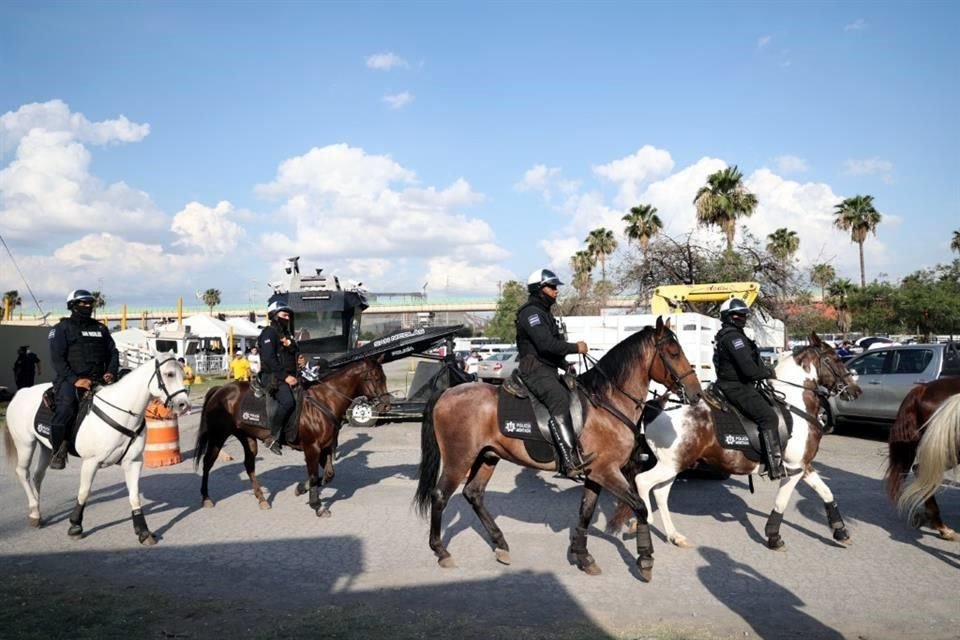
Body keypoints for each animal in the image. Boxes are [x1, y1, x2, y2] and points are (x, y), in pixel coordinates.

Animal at [2, 356, 188, 544]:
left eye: (183, 373)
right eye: (169, 374)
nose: (184, 405)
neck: (122, 413)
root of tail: (21, 392)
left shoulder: (133, 462)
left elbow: (134, 496)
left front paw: (143, 531)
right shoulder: (90, 462)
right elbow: (84, 493)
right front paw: (75, 526)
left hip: (46, 447)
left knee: (38, 475)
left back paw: (36, 513)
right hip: (25, 444)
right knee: (23, 472)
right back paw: (34, 510)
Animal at [193, 358, 388, 516]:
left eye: (383, 377)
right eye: (376, 378)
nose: (386, 405)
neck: (325, 401)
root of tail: (220, 390)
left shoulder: (325, 447)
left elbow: (328, 475)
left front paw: (301, 489)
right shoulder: (312, 448)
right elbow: (314, 476)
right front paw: (316, 505)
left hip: (247, 439)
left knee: (249, 466)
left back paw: (262, 499)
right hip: (218, 436)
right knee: (208, 462)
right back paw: (206, 498)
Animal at [414, 318, 704, 584]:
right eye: (673, 352)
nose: (697, 393)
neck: (608, 402)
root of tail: (447, 393)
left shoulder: (596, 475)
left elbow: (586, 512)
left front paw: (583, 556)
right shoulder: (607, 471)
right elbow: (640, 507)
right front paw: (645, 559)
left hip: (487, 457)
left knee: (474, 494)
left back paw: (500, 545)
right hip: (459, 459)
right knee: (440, 496)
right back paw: (441, 551)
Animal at [612, 336, 868, 552]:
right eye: (835, 359)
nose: (856, 391)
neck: (795, 406)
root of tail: (657, 407)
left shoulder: (804, 466)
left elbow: (827, 493)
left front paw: (841, 531)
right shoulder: (795, 469)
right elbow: (783, 502)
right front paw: (774, 536)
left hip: (673, 465)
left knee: (661, 493)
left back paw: (674, 536)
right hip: (670, 465)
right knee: (642, 482)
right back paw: (641, 522)